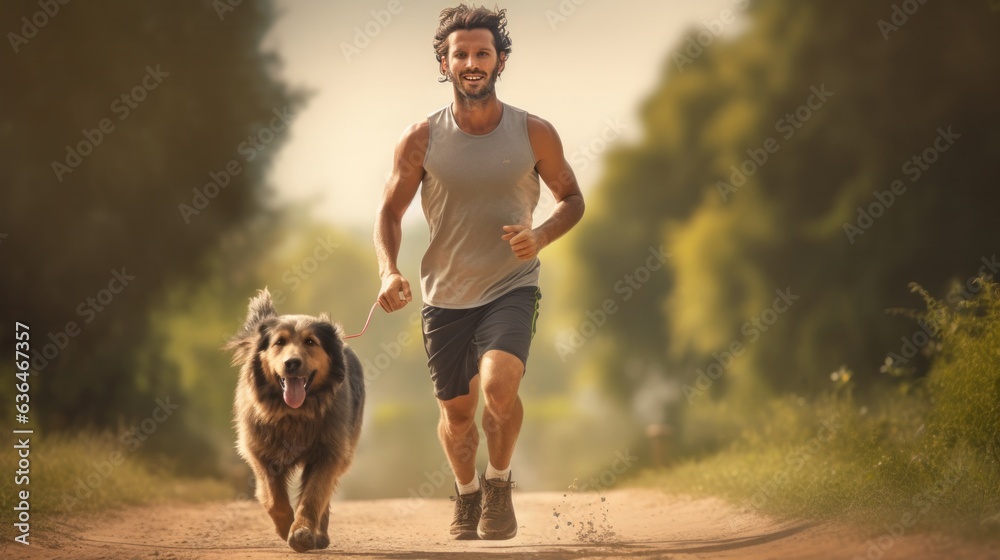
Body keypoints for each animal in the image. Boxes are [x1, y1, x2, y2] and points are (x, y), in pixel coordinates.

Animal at [225, 290, 366, 552]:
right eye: (279, 342)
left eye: (310, 342)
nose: (292, 363)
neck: (294, 413)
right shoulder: (261, 453)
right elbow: (274, 499)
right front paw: (285, 527)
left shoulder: (329, 452)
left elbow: (313, 496)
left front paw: (302, 532)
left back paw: (319, 534)